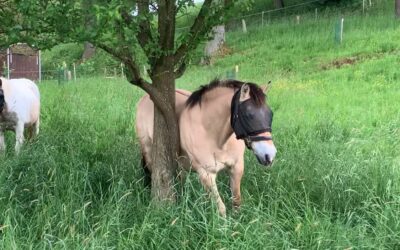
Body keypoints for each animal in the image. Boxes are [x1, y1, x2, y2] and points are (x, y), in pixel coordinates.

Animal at [136, 79, 276, 216]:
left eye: (270, 114)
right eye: (248, 115)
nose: (270, 155)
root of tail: (145, 98)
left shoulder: (236, 168)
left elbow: (236, 202)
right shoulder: (206, 174)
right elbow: (221, 208)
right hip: (149, 152)